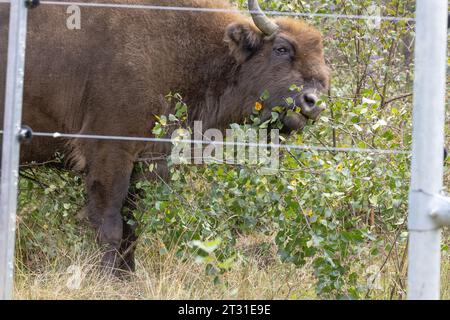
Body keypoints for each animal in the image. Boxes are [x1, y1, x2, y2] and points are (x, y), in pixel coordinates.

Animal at [0, 0, 330, 272]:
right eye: (282, 49)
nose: (314, 102)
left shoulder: (151, 159)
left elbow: (133, 223)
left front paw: (126, 276)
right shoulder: (110, 152)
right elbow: (110, 221)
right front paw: (105, 277)